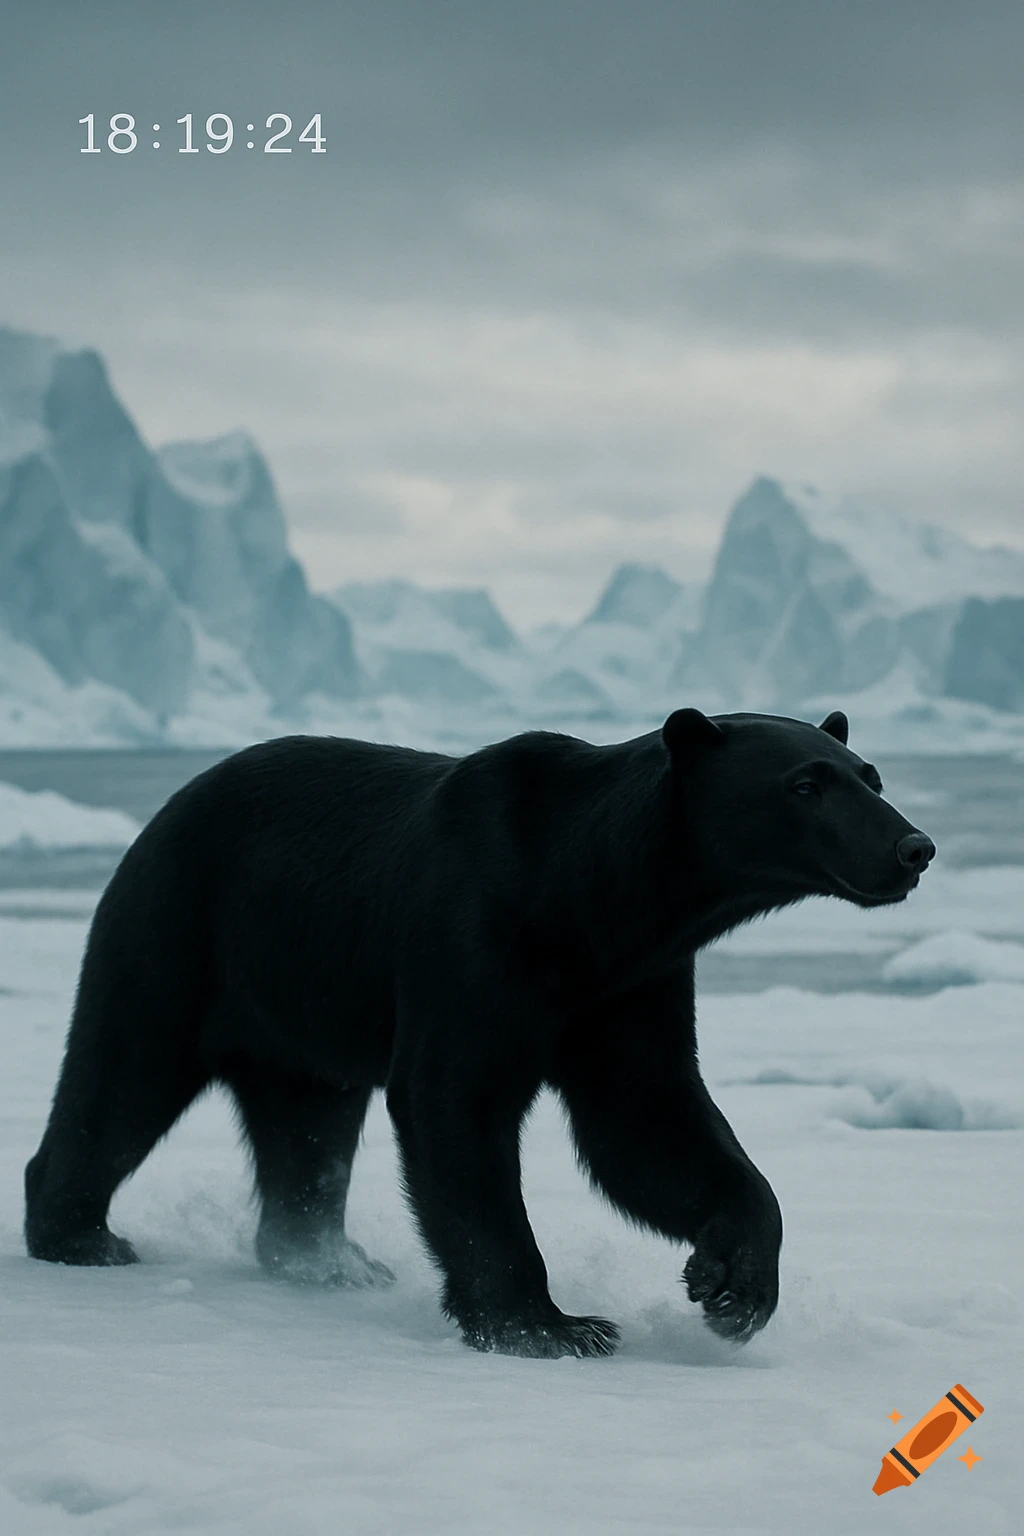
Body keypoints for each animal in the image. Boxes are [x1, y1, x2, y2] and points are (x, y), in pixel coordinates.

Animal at [24, 708, 935, 1358]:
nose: (913, 846)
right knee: (124, 1071)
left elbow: (649, 1121)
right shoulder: (474, 936)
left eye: (871, 773)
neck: (585, 896)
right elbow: (456, 1104)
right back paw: (82, 1235)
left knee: (309, 1122)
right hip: (184, 930)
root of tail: (165, 810)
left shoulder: (628, 987)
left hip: (301, 998)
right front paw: (550, 1325)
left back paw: (331, 1261)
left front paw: (732, 1288)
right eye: (804, 784)